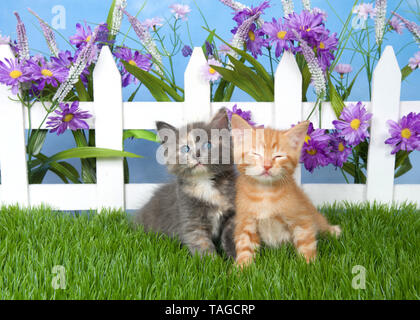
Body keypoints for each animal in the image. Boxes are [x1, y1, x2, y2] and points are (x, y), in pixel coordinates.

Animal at [136, 109, 238, 258]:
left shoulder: (232, 214)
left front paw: (237, 259)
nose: (197, 154)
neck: (204, 182)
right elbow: (202, 246)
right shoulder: (191, 220)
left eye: (207, 145)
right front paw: (213, 263)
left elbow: (232, 236)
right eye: (186, 149)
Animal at [230, 115, 342, 268]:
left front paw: (309, 266)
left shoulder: (302, 217)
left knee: (320, 223)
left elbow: (306, 242)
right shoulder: (245, 220)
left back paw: (332, 231)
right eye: (256, 154)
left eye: (278, 156)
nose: (267, 165)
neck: (265, 193)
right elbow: (245, 244)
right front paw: (242, 267)